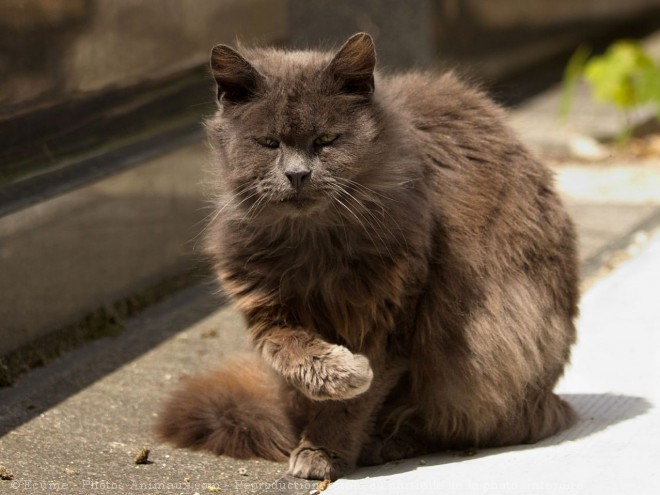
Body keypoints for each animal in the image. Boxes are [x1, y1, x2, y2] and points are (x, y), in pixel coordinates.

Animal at [157, 31, 580, 480]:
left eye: (326, 141)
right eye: (269, 143)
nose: (297, 174)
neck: (314, 240)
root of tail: (551, 398)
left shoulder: (391, 316)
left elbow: (356, 400)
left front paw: (323, 449)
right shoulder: (264, 303)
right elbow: (290, 350)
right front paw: (338, 374)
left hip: (489, 347)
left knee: (467, 424)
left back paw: (387, 442)